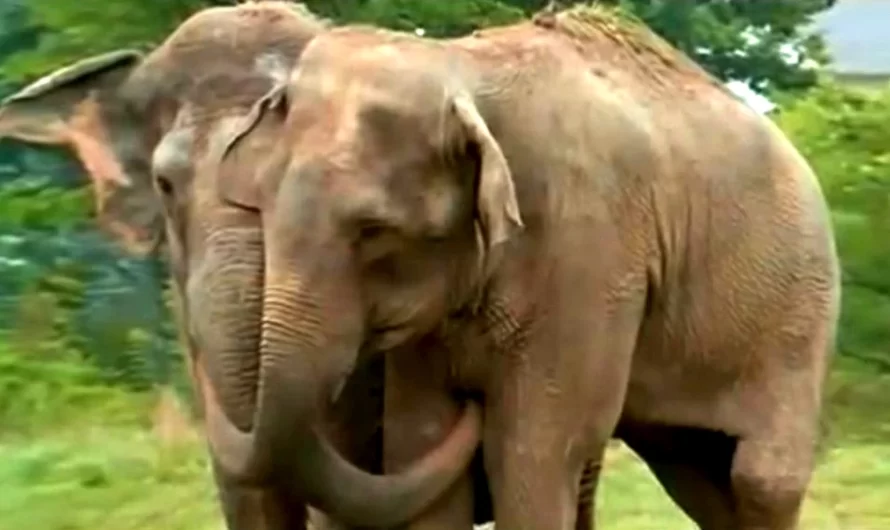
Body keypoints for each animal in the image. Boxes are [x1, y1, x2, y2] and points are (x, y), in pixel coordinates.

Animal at [213, 5, 840, 528]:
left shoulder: (590, 252)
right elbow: (420, 443)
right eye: (258, 206)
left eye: (373, 231)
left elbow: (533, 452)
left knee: (760, 480)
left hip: (796, 316)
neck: (460, 67)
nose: (474, 403)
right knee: (696, 472)